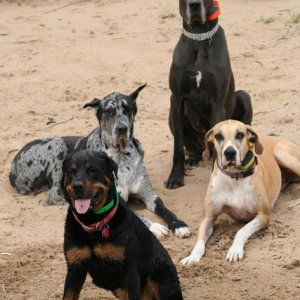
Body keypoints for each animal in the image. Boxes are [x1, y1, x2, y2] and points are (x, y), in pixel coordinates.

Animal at [9, 85, 190, 239]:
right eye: (108, 111)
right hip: (57, 146)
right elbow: (138, 215)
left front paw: (179, 224)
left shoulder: (149, 195)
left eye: (127, 109)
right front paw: (155, 226)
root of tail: (12, 167)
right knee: (53, 195)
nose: (122, 128)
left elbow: (166, 210)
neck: (122, 155)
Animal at [62, 150, 183, 300]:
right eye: (71, 171)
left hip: (161, 274)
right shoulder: (75, 268)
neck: (92, 223)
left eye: (92, 170)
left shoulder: (129, 270)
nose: (77, 186)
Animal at [166, 0, 253, 189]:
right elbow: (177, 146)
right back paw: (192, 158)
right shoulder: (176, 98)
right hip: (171, 116)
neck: (199, 38)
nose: (194, 5)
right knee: (193, 148)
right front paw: (176, 176)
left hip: (244, 96)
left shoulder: (217, 102)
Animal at [180, 119, 300, 264]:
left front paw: (235, 250)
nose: (230, 153)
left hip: (283, 153)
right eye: (218, 136)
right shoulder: (207, 218)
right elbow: (199, 241)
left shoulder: (263, 216)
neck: (235, 177)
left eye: (240, 135)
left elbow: (242, 230)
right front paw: (192, 257)